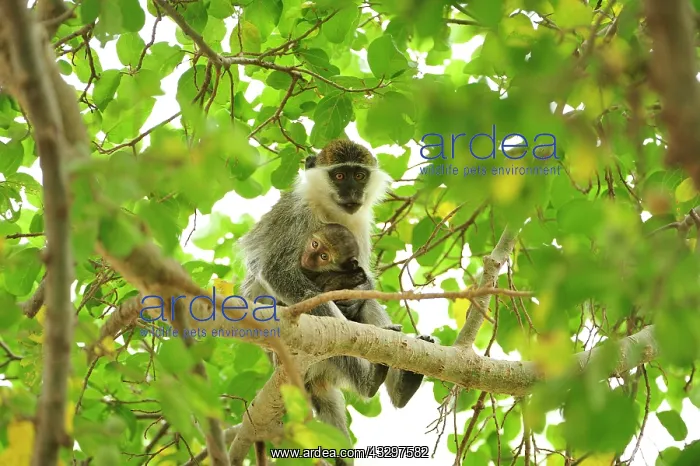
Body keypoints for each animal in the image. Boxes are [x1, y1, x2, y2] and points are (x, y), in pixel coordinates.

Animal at [239, 139, 435, 465]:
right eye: (340, 176)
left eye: (359, 176)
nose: (353, 193)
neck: (327, 208)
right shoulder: (295, 215)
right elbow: (277, 272)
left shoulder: (360, 226)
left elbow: (365, 284)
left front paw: (357, 288)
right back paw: (369, 383)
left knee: (368, 308)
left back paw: (402, 387)